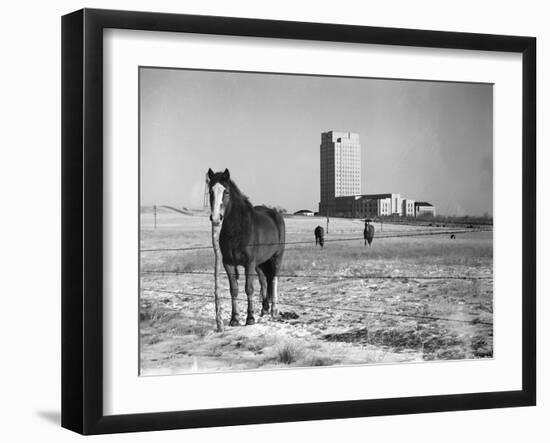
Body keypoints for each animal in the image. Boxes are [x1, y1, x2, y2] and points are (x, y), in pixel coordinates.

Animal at [207, 168, 284, 328]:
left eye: (226, 191)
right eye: (210, 191)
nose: (216, 218)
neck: (238, 230)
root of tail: (275, 213)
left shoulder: (249, 264)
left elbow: (249, 289)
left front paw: (250, 318)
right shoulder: (228, 264)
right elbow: (234, 290)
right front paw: (234, 319)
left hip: (276, 257)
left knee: (274, 279)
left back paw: (274, 310)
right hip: (260, 263)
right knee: (264, 281)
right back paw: (264, 309)